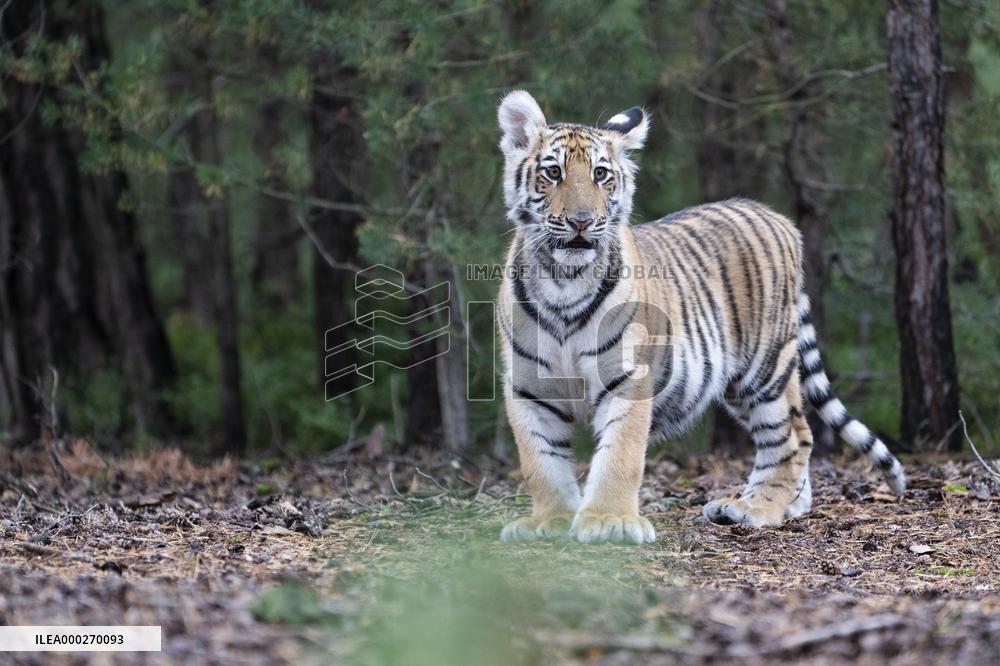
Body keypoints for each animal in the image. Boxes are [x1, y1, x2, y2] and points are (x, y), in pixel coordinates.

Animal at [494, 90, 905, 544]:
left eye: (601, 175)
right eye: (553, 172)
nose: (582, 221)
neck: (563, 281)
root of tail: (778, 218)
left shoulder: (628, 379)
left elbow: (620, 455)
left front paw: (609, 522)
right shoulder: (528, 387)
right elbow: (541, 461)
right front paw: (549, 521)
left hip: (764, 368)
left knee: (794, 435)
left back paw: (756, 508)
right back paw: (785, 505)